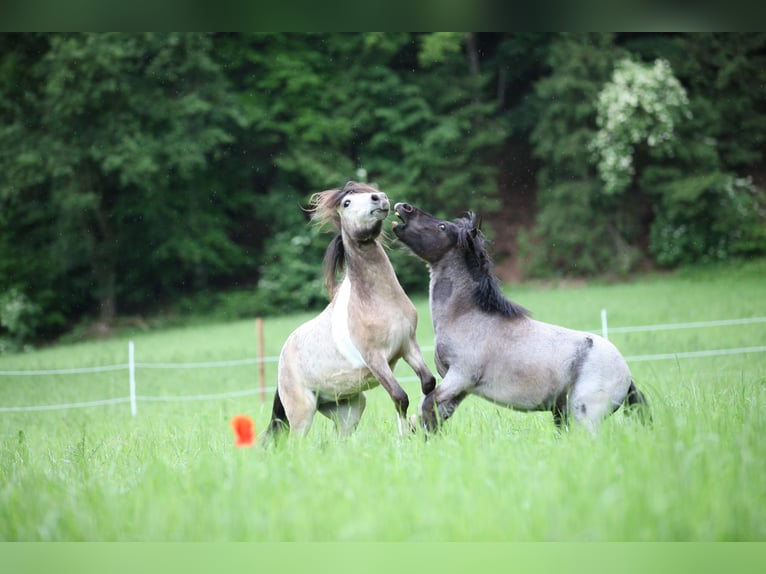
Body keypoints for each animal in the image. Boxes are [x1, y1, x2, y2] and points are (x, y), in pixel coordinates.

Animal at [260, 182, 436, 444]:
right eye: (346, 203)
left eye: (371, 191)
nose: (380, 198)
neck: (378, 301)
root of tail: (282, 363)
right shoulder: (376, 359)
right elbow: (399, 397)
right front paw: (405, 436)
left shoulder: (408, 345)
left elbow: (428, 383)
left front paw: (422, 424)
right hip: (303, 415)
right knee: (295, 443)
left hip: (349, 408)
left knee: (340, 440)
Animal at [392, 202, 652, 432]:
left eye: (443, 226)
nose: (404, 207)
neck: (466, 319)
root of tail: (627, 377)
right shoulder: (458, 390)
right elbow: (433, 416)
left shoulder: (459, 378)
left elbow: (427, 407)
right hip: (562, 412)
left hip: (583, 416)